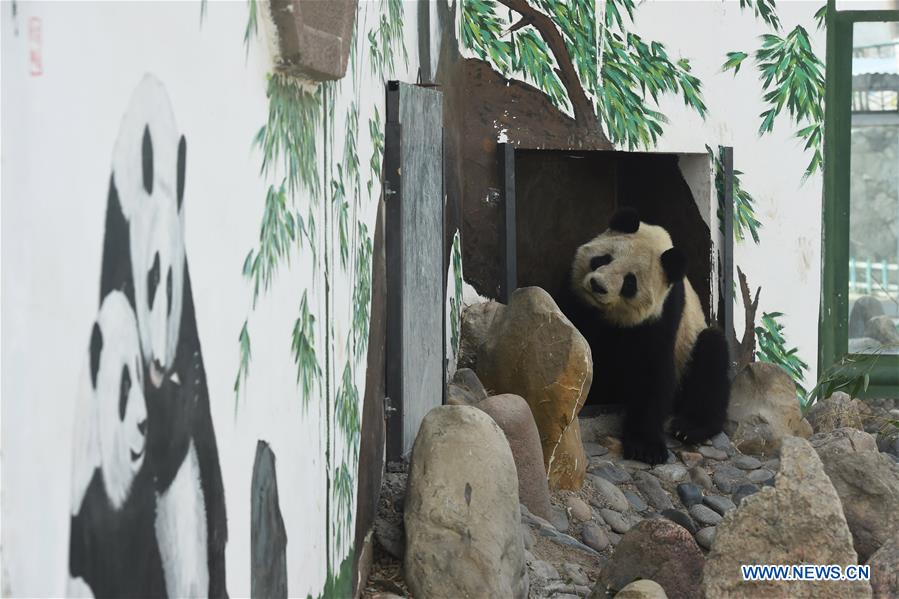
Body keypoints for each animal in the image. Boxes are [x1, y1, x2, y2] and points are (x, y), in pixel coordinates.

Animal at [567, 208, 731, 465]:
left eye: (630, 282)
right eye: (604, 259)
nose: (598, 285)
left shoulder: (664, 314)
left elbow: (652, 372)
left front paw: (645, 448)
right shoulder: (579, 304)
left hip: (691, 347)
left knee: (712, 356)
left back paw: (691, 428)